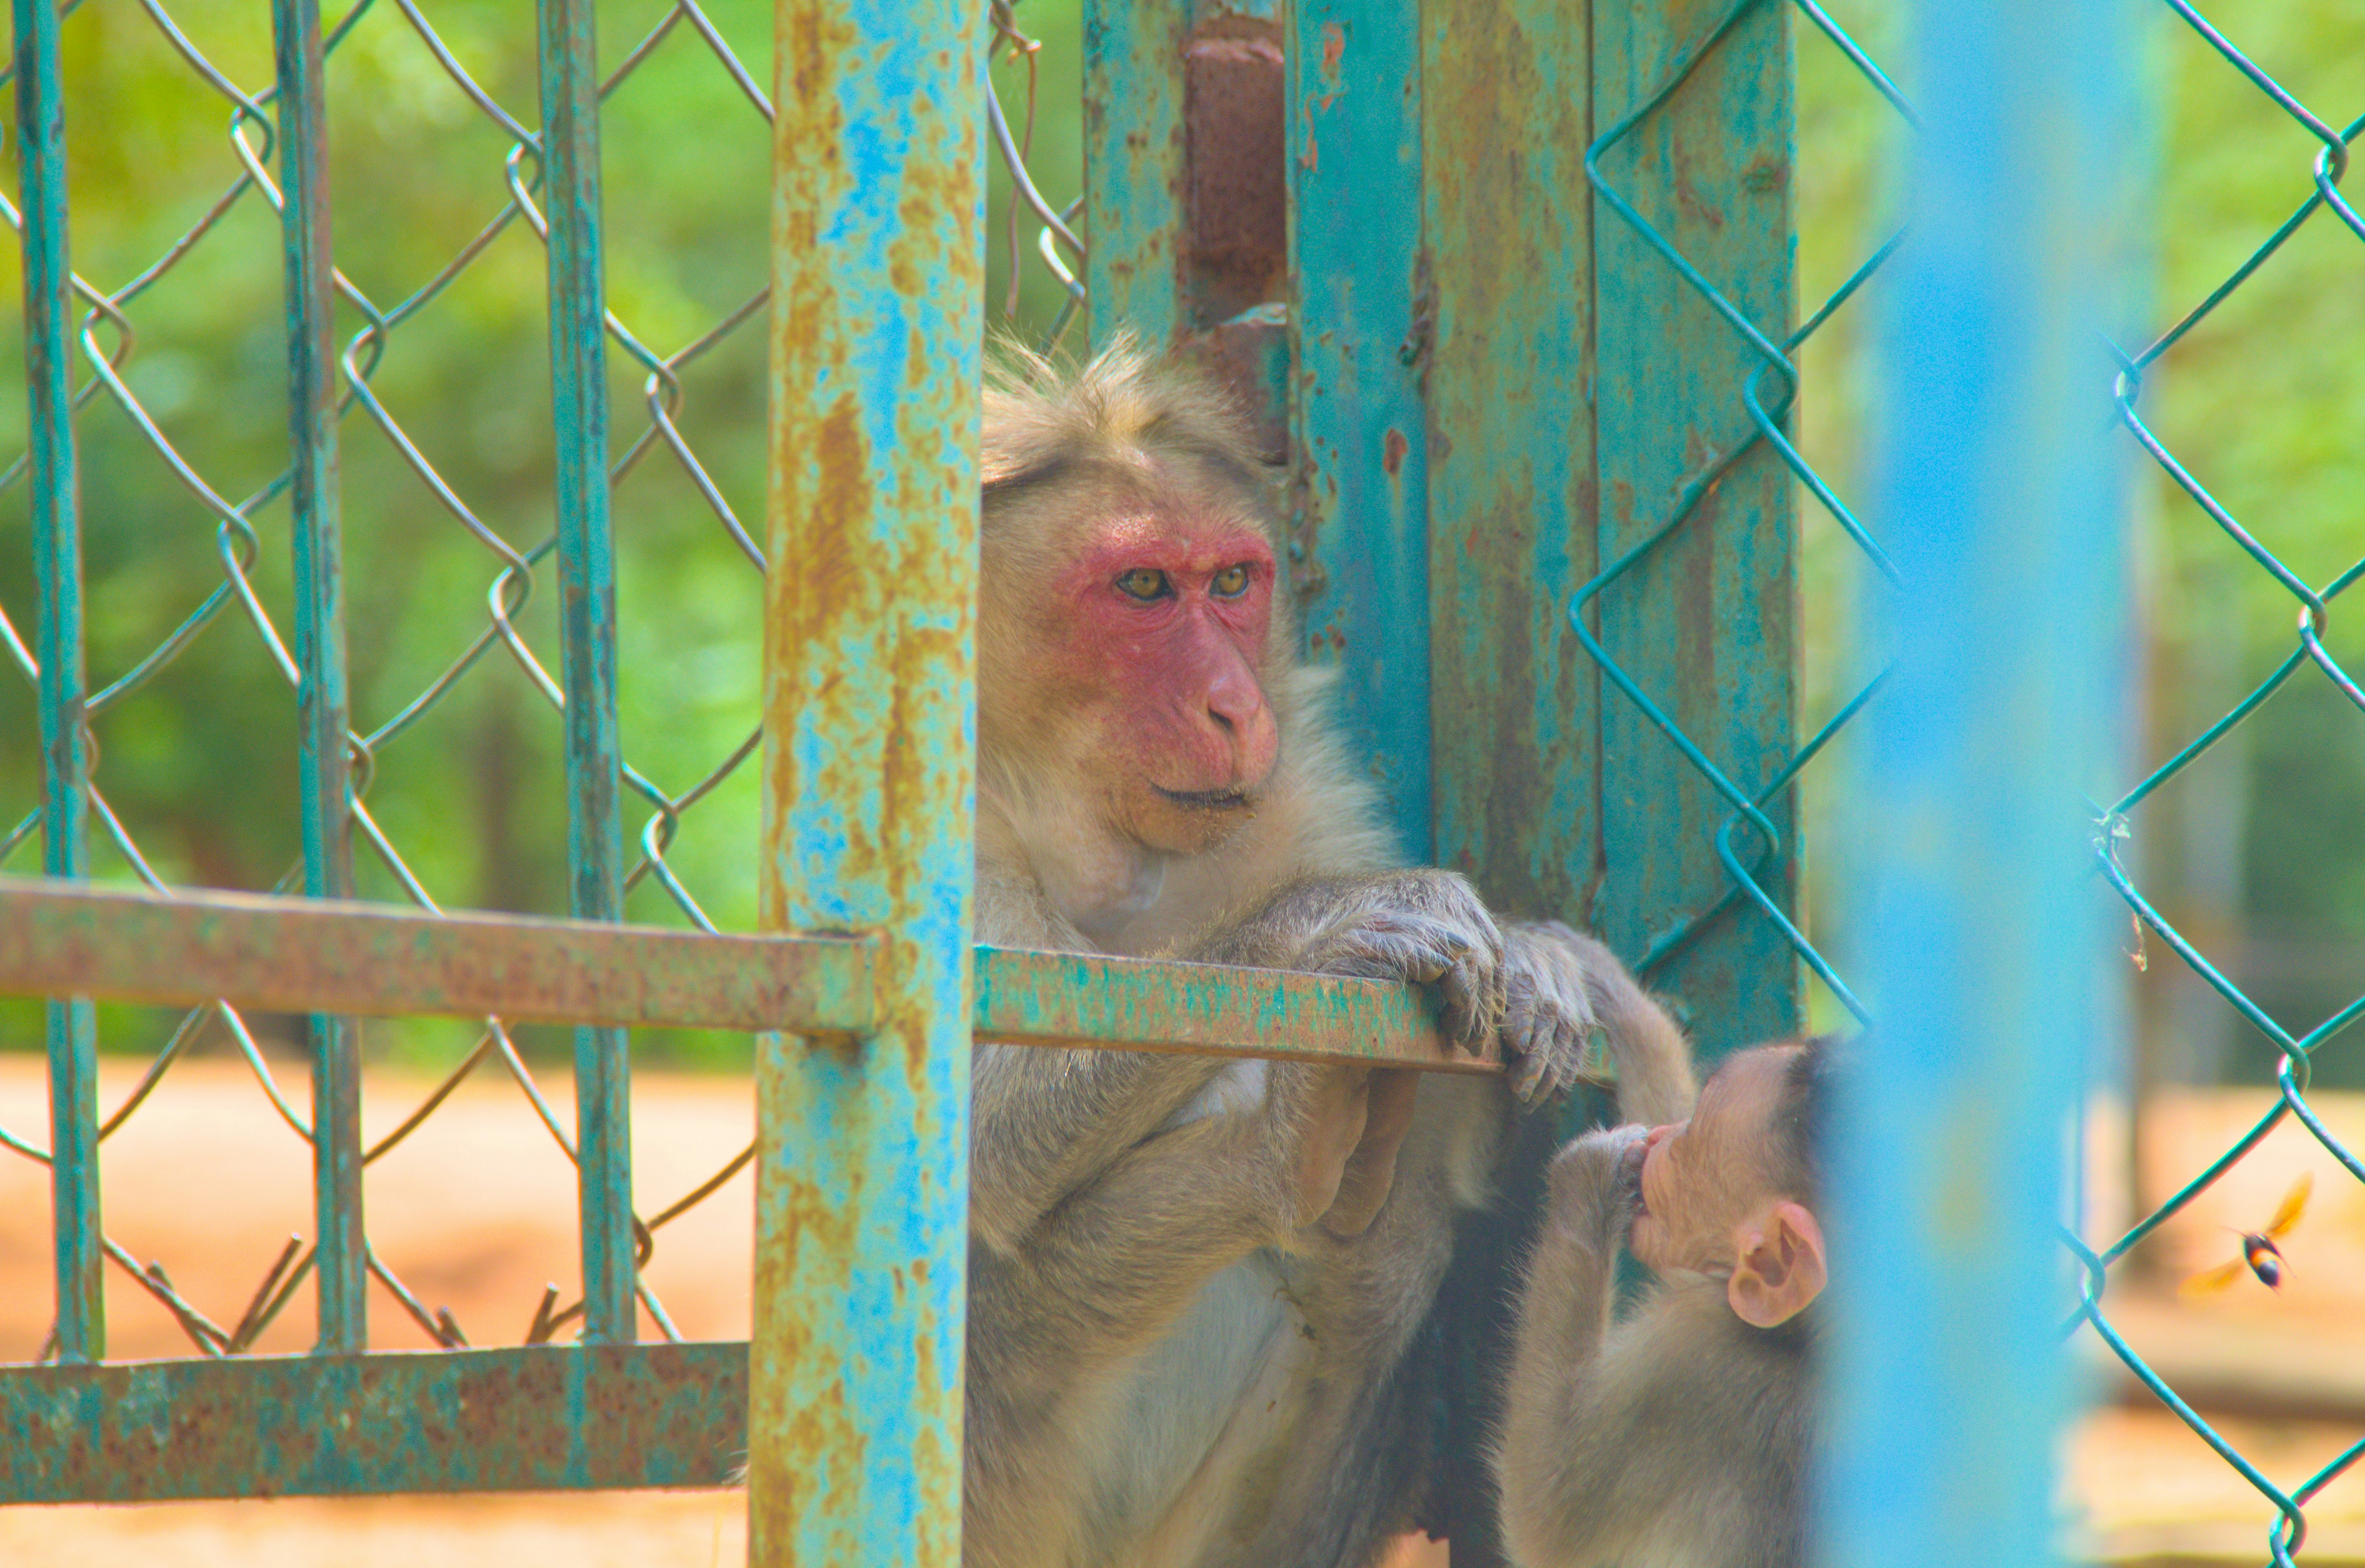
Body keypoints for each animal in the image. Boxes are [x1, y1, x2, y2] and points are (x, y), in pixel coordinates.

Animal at [957, 336, 1699, 1568]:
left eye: (1232, 582)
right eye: (1142, 590)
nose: (1231, 704)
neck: (1108, 839)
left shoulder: (1298, 794)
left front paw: (1538, 959)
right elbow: (980, 1129)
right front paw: (1336, 920)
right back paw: (1279, 1158)